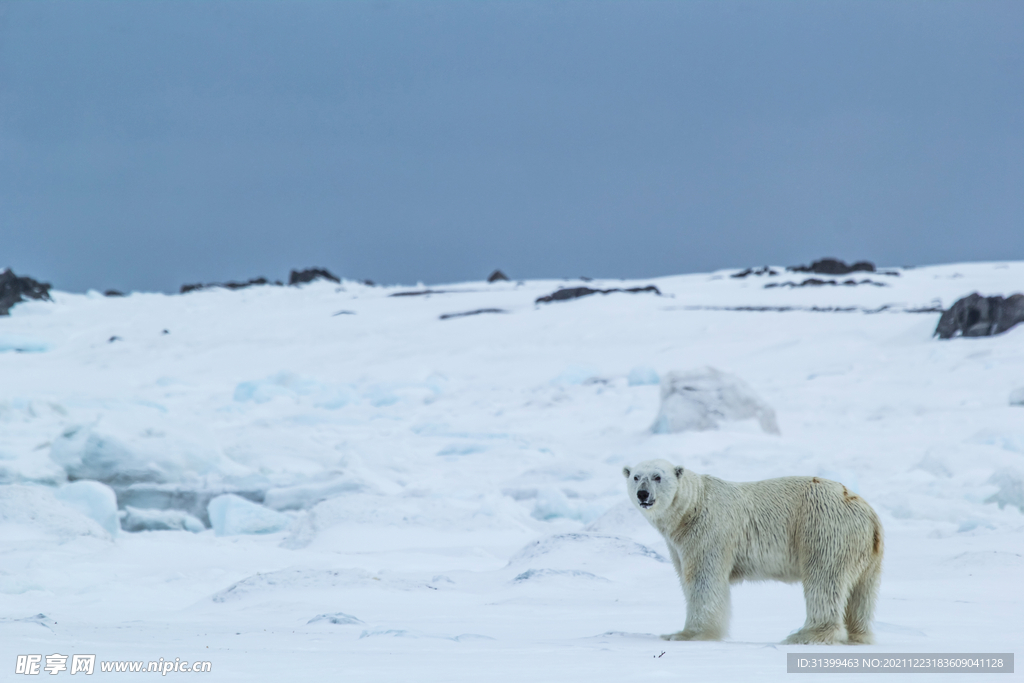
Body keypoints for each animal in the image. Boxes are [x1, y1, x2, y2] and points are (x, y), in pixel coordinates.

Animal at [622, 458, 880, 647]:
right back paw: (858, 636)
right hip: (866, 551)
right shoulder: (678, 543)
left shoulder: (708, 531)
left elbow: (703, 580)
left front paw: (685, 634)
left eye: (657, 476)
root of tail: (867, 512)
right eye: (636, 476)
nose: (643, 494)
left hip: (823, 528)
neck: (692, 507)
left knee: (823, 579)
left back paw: (804, 635)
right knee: (861, 591)